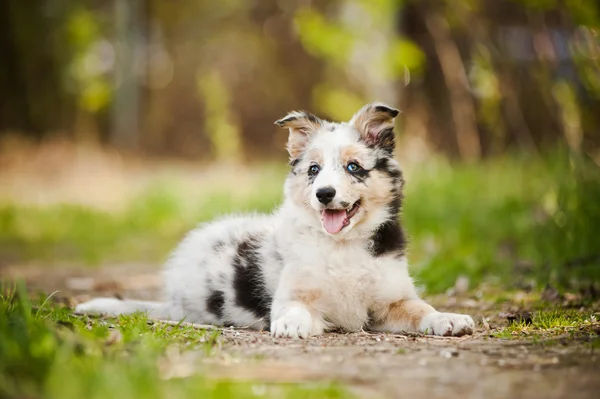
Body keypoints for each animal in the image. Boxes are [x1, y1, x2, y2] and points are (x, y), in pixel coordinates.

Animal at [77, 102, 476, 338]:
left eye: (353, 167)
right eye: (313, 170)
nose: (324, 194)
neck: (342, 246)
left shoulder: (391, 301)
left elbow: (421, 308)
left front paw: (448, 318)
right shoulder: (295, 294)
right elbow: (294, 309)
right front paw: (292, 324)